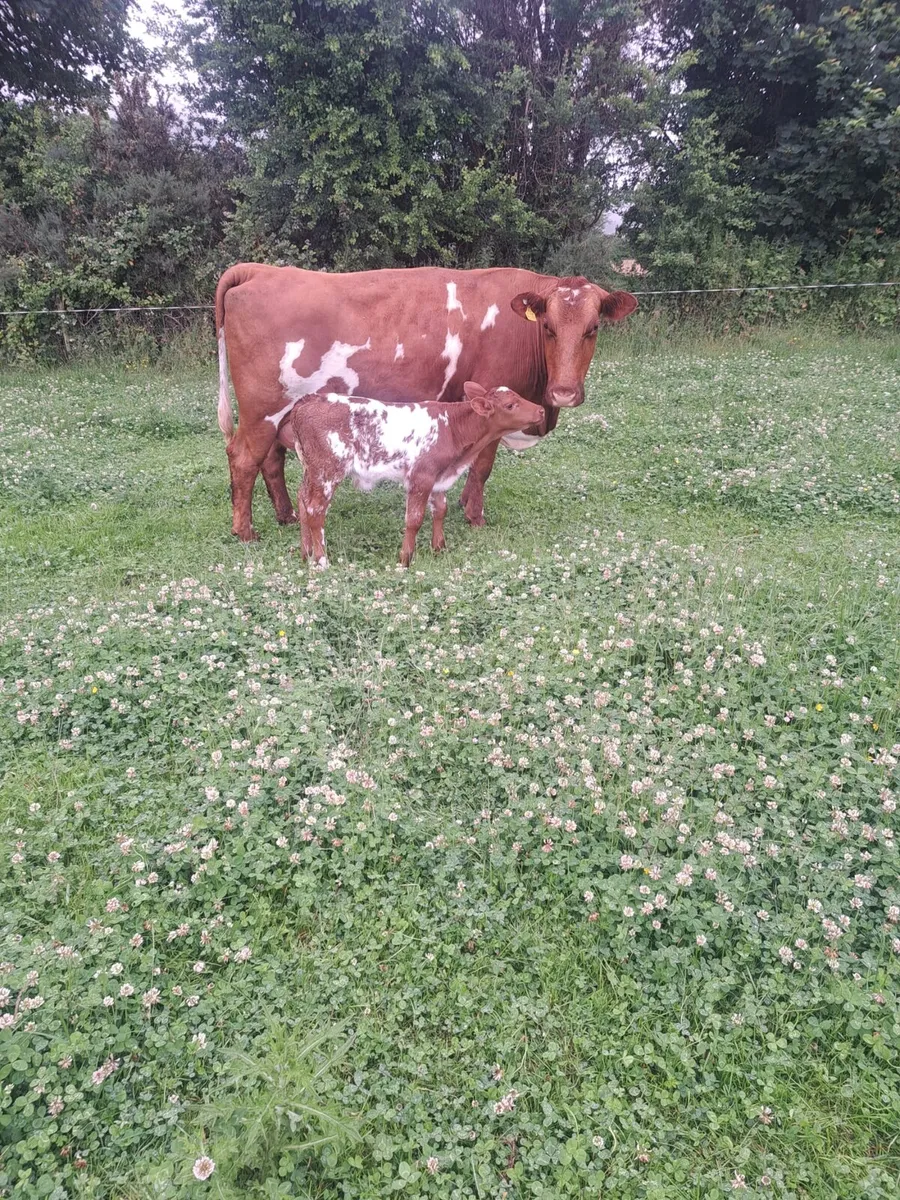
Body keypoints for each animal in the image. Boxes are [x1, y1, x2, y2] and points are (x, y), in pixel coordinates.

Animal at [215, 263, 638, 541]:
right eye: (548, 327)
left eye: (593, 328)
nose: (564, 391)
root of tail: (261, 270)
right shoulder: (493, 401)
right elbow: (482, 467)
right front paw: (476, 517)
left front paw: (464, 505)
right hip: (262, 409)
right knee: (244, 458)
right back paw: (245, 531)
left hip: (280, 413)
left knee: (270, 460)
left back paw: (285, 516)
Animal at [277, 382, 544, 568]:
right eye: (510, 405)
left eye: (518, 396)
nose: (541, 410)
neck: (452, 428)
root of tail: (309, 400)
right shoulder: (421, 477)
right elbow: (414, 519)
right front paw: (405, 558)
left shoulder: (438, 478)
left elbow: (440, 511)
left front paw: (439, 549)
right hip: (327, 471)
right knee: (315, 510)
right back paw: (322, 560)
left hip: (311, 469)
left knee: (302, 500)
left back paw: (306, 554)